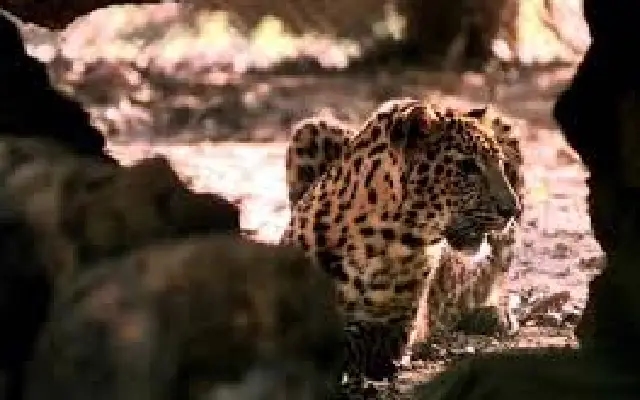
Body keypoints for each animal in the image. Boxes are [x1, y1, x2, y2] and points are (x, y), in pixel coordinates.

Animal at [280, 97, 522, 392]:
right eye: (468, 167)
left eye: (500, 163)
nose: (512, 211)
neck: (377, 236)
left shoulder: (393, 326)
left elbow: (352, 342)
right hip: (310, 128)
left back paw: (496, 314)